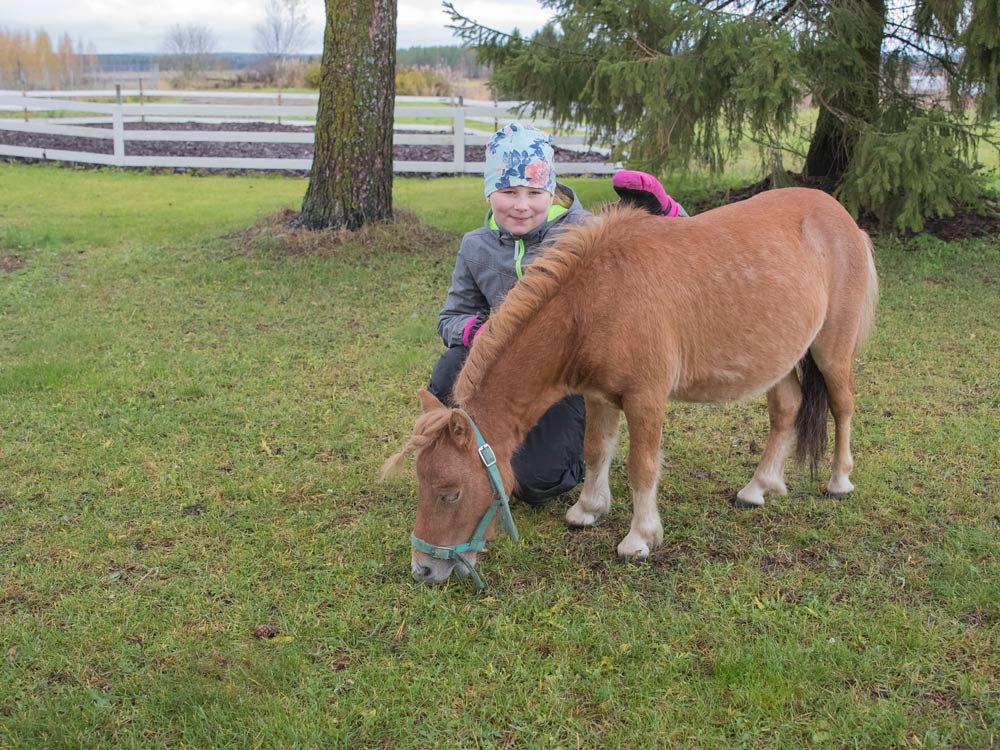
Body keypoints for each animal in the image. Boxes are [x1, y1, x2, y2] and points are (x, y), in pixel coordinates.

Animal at [382, 187, 876, 588]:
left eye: (451, 492)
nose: (423, 570)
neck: (597, 300)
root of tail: (838, 214)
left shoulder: (646, 400)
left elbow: (642, 466)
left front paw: (640, 538)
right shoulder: (599, 396)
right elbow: (596, 450)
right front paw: (588, 510)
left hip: (831, 350)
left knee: (843, 403)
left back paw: (839, 481)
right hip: (779, 359)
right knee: (788, 408)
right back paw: (758, 487)